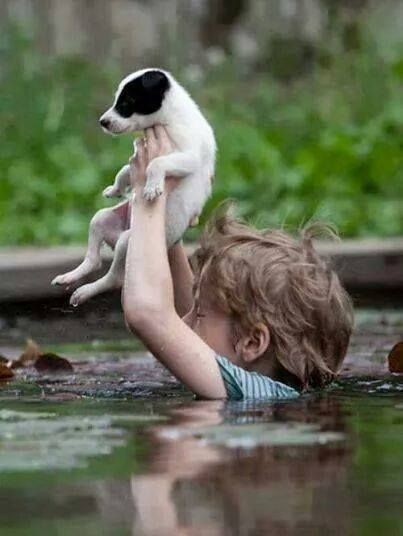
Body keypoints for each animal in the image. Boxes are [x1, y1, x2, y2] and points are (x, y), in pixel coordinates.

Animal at [52, 67, 216, 306]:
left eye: (127, 101)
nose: (103, 121)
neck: (170, 117)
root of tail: (116, 237)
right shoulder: (141, 157)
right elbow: (125, 170)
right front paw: (116, 189)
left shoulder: (188, 156)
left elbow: (157, 163)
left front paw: (151, 187)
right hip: (102, 219)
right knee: (93, 259)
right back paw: (70, 276)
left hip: (127, 242)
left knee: (114, 278)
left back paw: (85, 291)